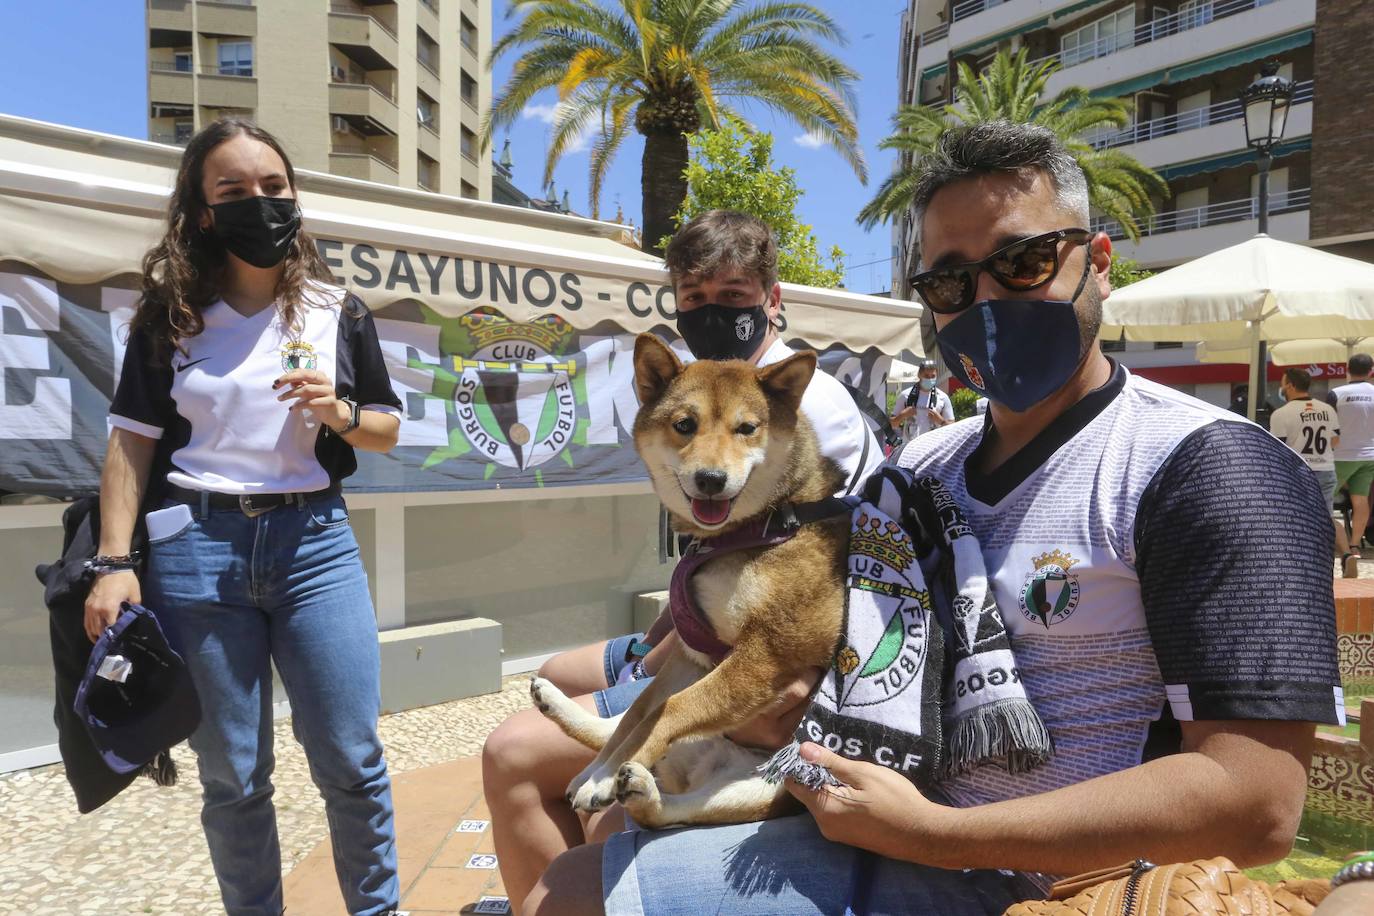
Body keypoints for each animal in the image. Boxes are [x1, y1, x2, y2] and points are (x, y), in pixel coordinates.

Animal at [530, 333, 851, 829]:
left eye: (747, 428)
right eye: (684, 424)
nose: (711, 479)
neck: (760, 527)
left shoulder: (767, 654)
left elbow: (668, 711)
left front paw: (602, 782)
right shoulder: (691, 652)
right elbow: (640, 716)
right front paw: (598, 775)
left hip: (777, 784)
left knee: (666, 813)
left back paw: (632, 787)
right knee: (622, 723)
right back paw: (579, 742)